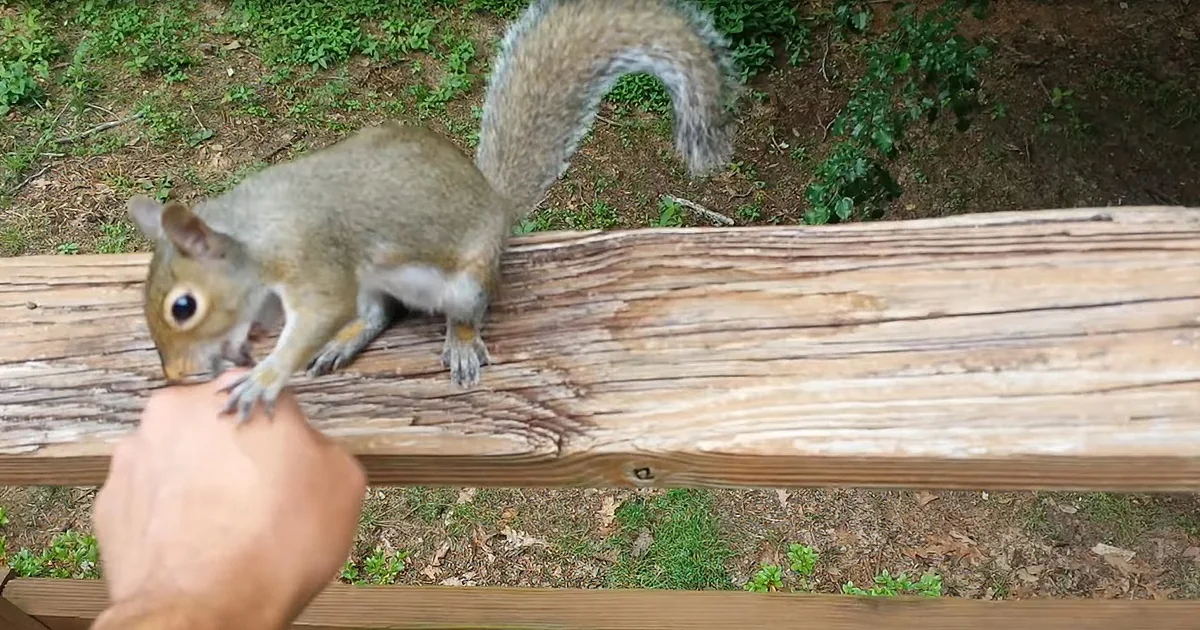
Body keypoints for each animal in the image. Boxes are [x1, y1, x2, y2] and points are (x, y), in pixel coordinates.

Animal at [126, 0, 741, 422]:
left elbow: (316, 315)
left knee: (464, 311)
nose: (175, 376)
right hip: (376, 284)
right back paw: (349, 338)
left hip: (466, 280)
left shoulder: (314, 257)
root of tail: (495, 203)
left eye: (184, 306)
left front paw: (265, 375)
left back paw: (459, 342)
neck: (255, 232)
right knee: (379, 313)